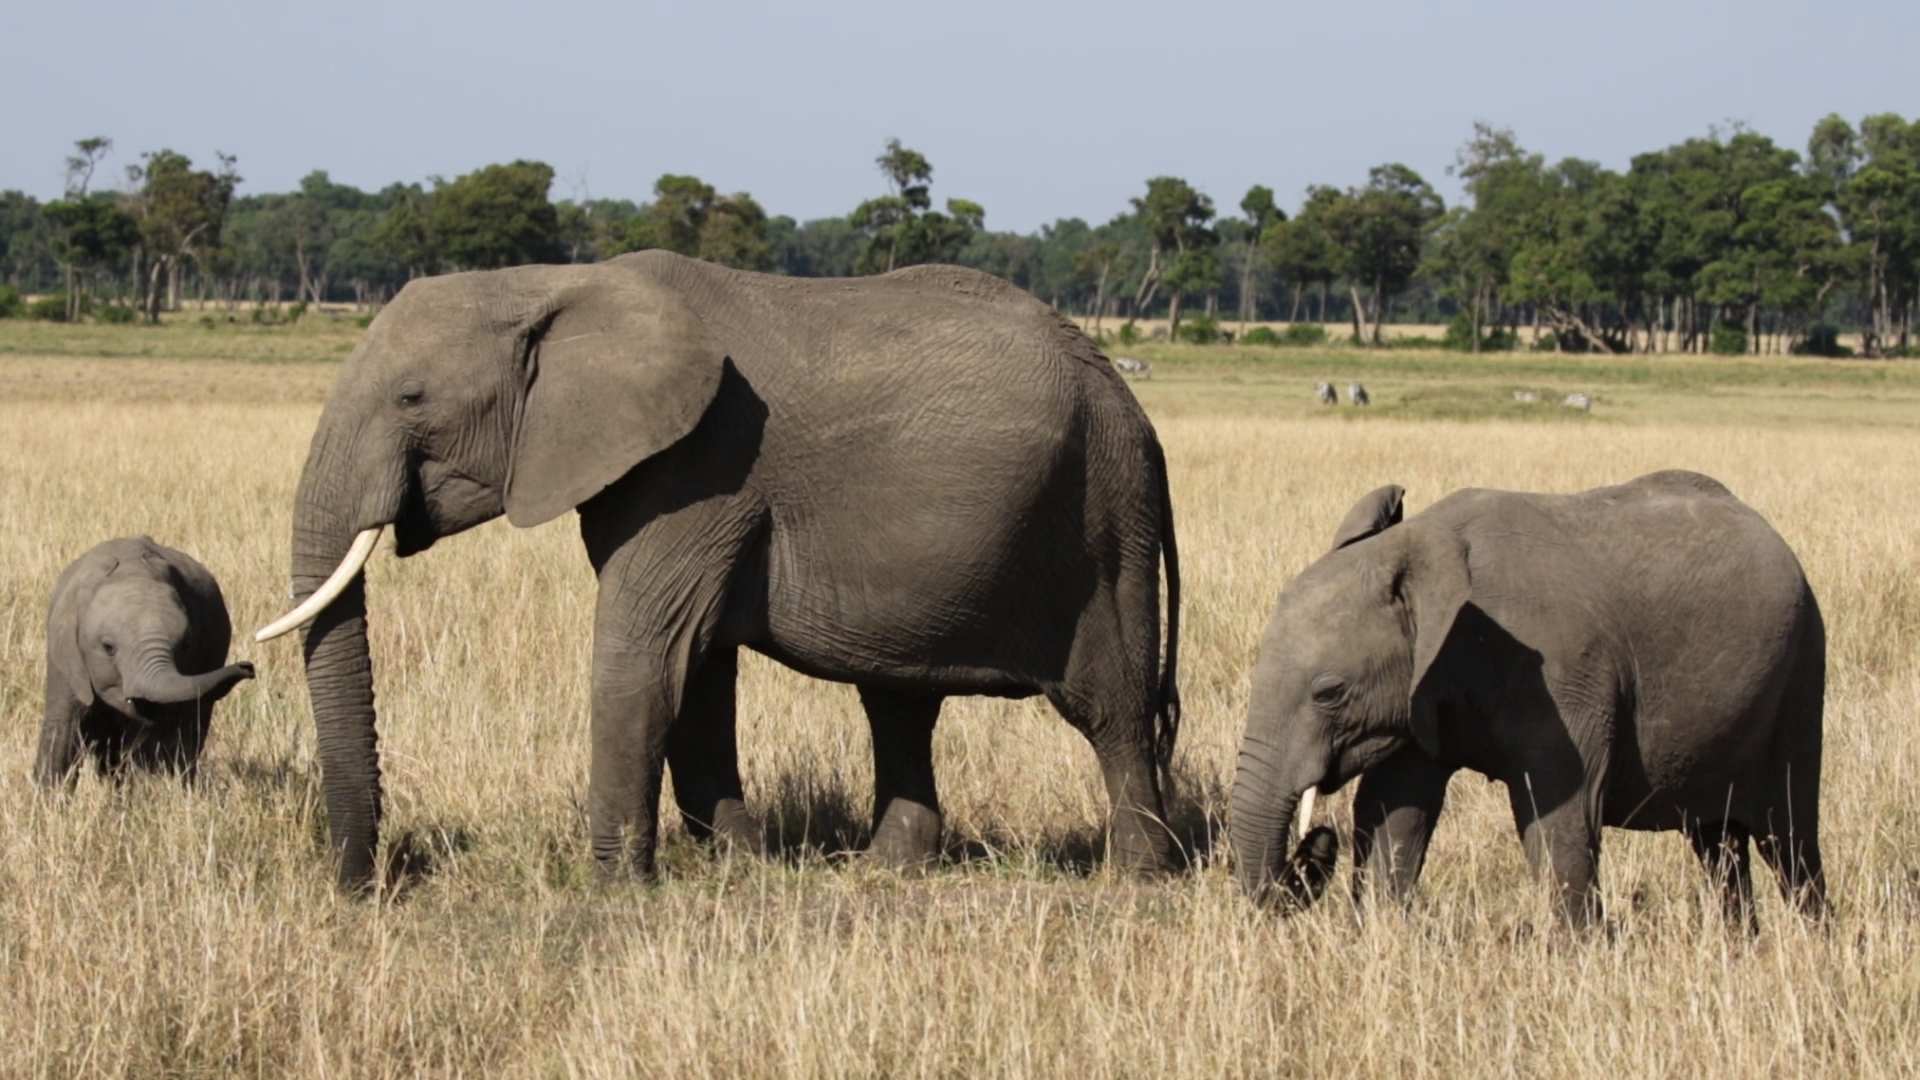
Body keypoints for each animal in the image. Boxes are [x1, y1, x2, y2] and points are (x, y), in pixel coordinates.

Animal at [35, 534, 255, 780]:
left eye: (186, 646)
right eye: (108, 648)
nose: (248, 667)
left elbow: (161, 735)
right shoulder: (65, 658)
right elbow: (62, 728)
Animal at [255, 249, 1182, 883]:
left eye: (412, 398)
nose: (368, 883)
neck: (556, 284)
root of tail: (1129, 398)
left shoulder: (702, 466)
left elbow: (646, 655)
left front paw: (614, 885)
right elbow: (696, 673)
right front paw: (742, 865)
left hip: (1104, 522)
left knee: (1111, 706)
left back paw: (1136, 880)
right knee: (898, 703)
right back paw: (887, 872)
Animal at [1228, 470, 1827, 926]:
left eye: (1329, 693)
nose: (1316, 841)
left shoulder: (1562, 673)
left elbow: (1557, 811)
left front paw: (1578, 957)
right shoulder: (1421, 687)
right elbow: (1393, 808)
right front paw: (1378, 939)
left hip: (1802, 668)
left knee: (1789, 837)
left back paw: (1810, 945)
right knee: (1718, 843)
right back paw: (1739, 945)